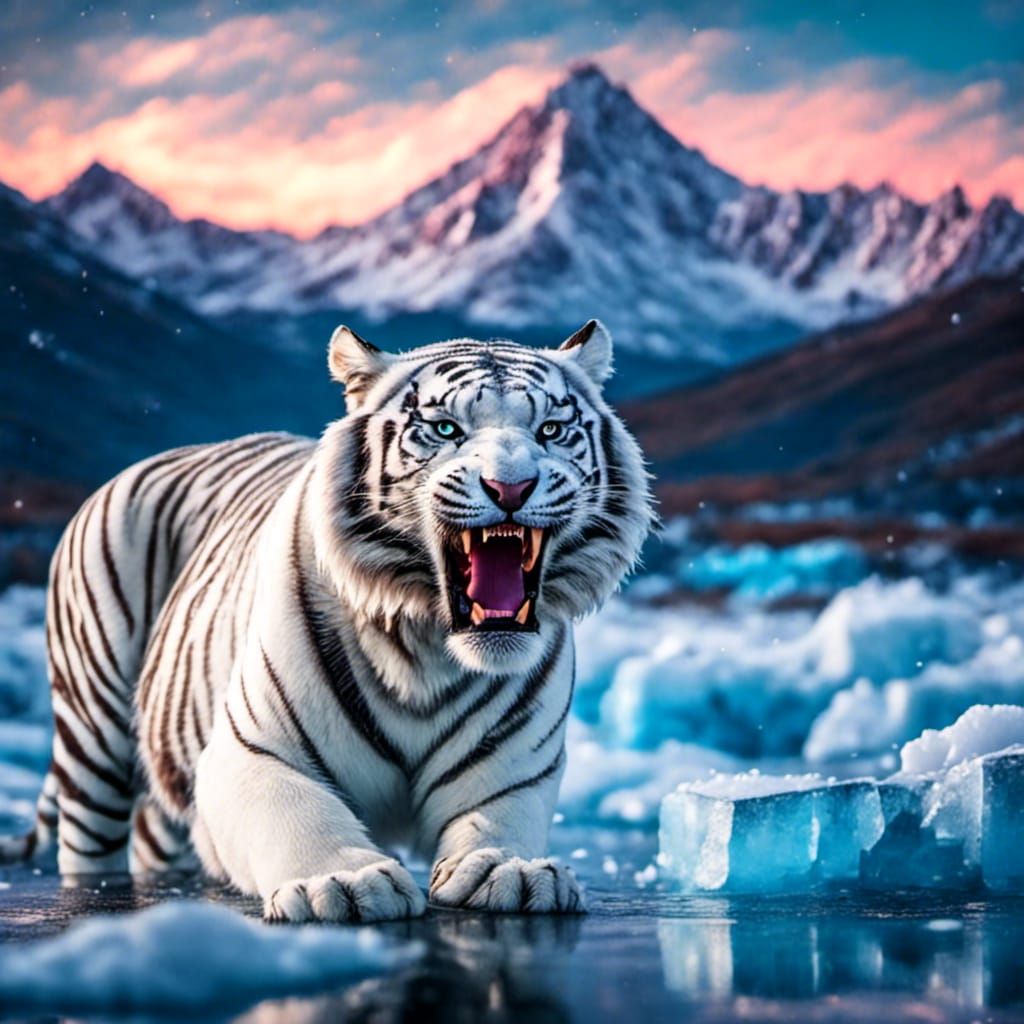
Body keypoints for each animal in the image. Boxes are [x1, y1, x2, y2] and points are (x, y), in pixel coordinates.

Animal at [2, 320, 653, 922]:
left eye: (551, 431)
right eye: (446, 429)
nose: (512, 487)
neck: (426, 650)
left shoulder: (514, 765)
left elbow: (498, 820)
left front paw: (509, 870)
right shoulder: (249, 749)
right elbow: (295, 813)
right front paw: (341, 883)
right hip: (94, 735)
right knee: (89, 839)